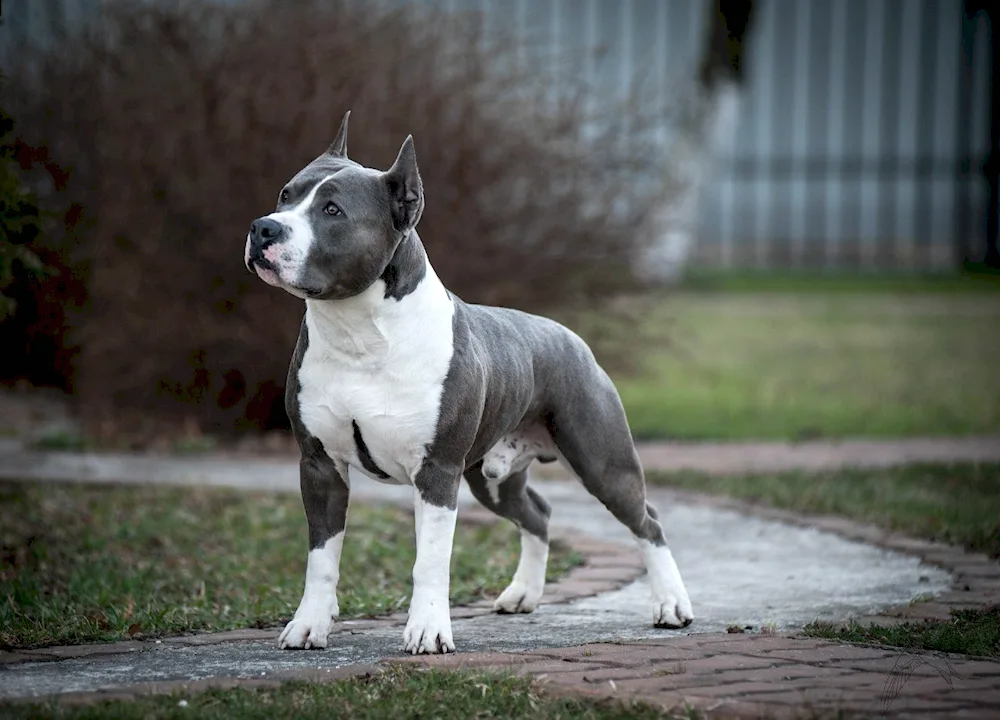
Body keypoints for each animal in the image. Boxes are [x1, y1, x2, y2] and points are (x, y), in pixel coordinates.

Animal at [243, 111, 696, 652]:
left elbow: (430, 562)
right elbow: (322, 558)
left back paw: (671, 604)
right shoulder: (319, 466)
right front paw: (310, 623)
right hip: (489, 478)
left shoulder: (437, 472)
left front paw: (427, 630)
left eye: (332, 210)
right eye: (285, 196)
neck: (359, 333)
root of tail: (568, 336)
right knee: (539, 513)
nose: (262, 227)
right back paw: (523, 593)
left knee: (646, 520)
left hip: (602, 461)